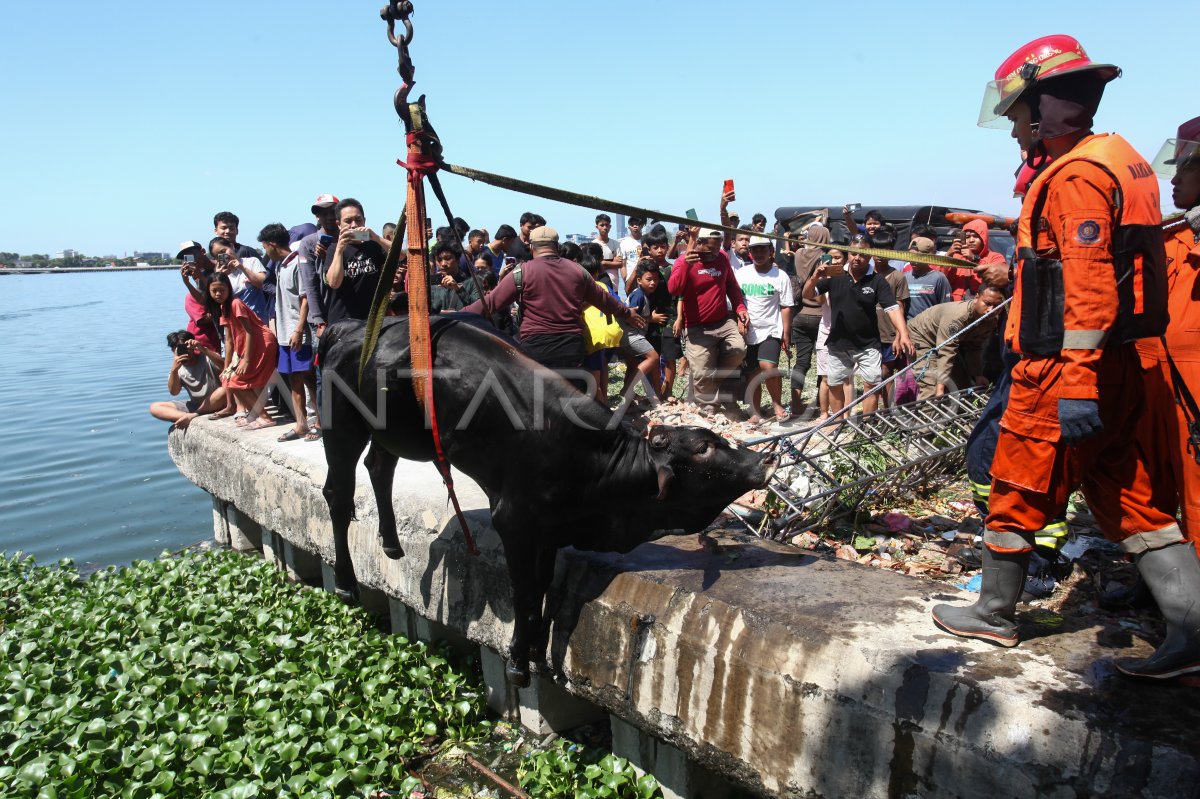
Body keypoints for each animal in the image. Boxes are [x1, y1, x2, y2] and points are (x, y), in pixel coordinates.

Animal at [319, 314, 777, 681]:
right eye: (702, 448)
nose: (764, 459)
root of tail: (348, 327)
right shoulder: (515, 523)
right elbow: (523, 590)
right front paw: (519, 662)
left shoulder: (550, 530)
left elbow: (541, 586)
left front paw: (537, 649)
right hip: (341, 426)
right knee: (338, 497)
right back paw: (345, 583)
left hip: (390, 434)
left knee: (379, 467)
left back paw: (391, 543)